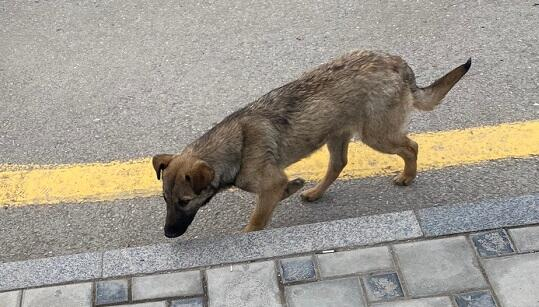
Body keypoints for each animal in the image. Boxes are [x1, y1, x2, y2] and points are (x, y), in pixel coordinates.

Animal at [152, 50, 472, 238]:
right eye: (166, 200)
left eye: (184, 202)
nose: (168, 234)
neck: (236, 144)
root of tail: (399, 66)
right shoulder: (272, 185)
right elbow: (279, 194)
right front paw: (294, 188)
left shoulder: (269, 184)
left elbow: (256, 222)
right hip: (337, 135)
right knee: (339, 164)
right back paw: (316, 192)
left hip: (377, 135)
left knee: (411, 147)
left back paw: (408, 176)